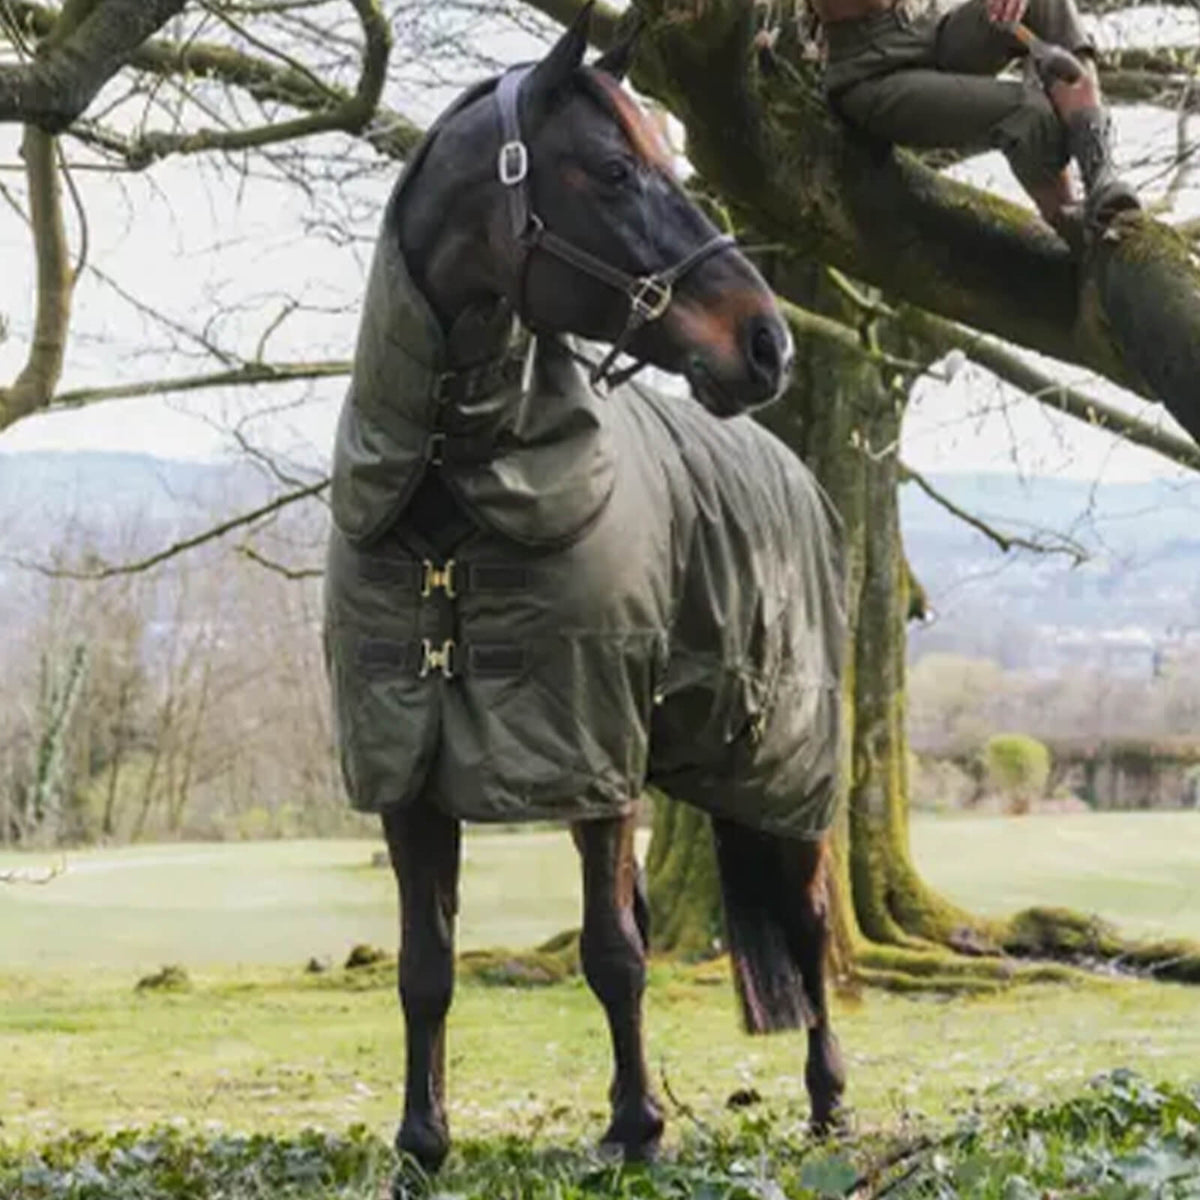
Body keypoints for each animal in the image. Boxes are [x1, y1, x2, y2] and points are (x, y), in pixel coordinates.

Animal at [323, 5, 847, 1179]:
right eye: (613, 170)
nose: (770, 345)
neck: (454, 502)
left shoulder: (593, 754)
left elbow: (612, 954)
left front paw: (640, 1130)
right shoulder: (408, 766)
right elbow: (426, 966)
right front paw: (422, 1143)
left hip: (780, 770)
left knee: (806, 927)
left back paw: (832, 1106)